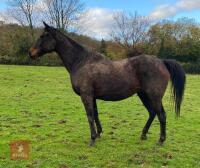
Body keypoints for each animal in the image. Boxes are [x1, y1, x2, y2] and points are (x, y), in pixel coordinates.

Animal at [28, 22, 186, 146]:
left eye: (43, 36)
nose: (30, 52)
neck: (82, 62)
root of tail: (161, 61)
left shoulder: (86, 95)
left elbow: (89, 116)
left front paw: (92, 139)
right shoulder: (92, 96)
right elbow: (95, 114)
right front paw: (98, 134)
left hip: (154, 96)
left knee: (161, 115)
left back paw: (161, 140)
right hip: (143, 95)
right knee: (152, 113)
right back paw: (143, 135)